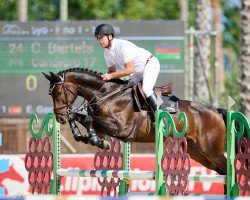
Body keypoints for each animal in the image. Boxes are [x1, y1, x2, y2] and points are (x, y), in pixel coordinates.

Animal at [42, 67, 227, 178]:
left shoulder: (120, 127)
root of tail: (215, 111)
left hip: (211, 150)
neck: (106, 94)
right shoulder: (103, 128)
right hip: (198, 153)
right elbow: (82, 120)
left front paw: (100, 142)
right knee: (221, 170)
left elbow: (89, 118)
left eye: (58, 92)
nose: (60, 118)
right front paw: (87, 138)